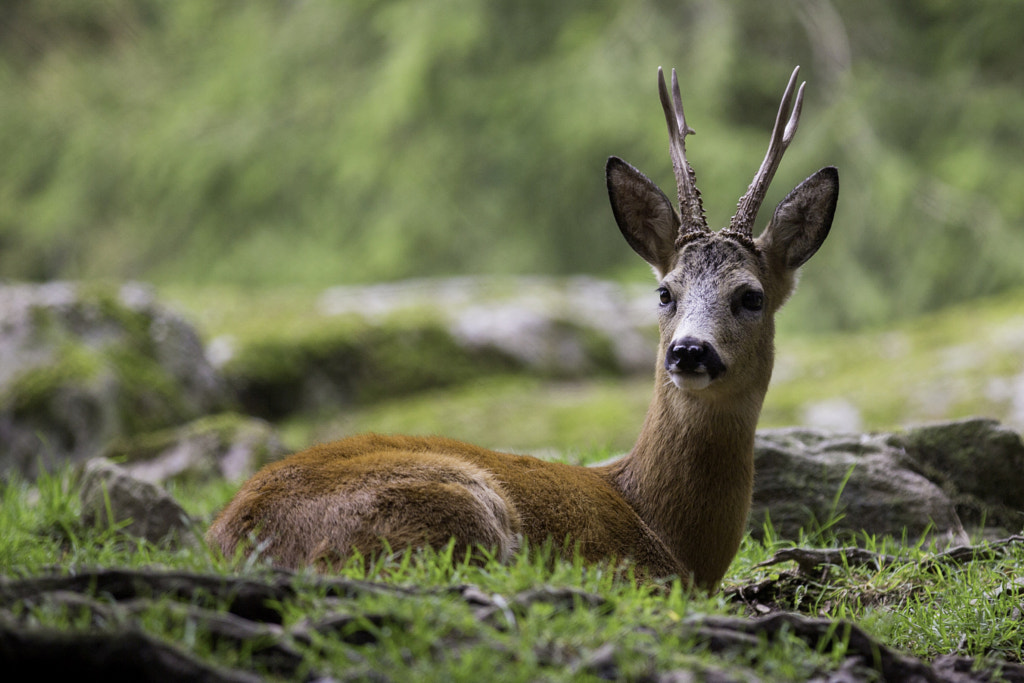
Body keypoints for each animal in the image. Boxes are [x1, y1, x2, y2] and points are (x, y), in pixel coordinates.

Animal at [207, 68, 839, 593]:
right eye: (665, 292)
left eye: (750, 296)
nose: (689, 351)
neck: (666, 530)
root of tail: (231, 538)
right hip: (456, 504)